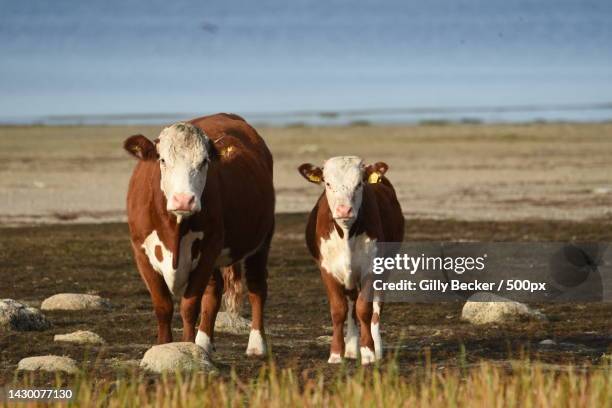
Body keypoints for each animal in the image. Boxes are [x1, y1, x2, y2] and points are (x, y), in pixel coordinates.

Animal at [123, 113, 274, 358]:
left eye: (204, 162)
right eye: (162, 160)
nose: (184, 200)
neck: (174, 229)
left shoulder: (208, 251)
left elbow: (189, 306)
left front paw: (186, 347)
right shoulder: (141, 252)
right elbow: (163, 306)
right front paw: (164, 346)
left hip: (262, 239)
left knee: (256, 285)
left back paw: (256, 345)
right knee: (214, 291)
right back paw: (204, 343)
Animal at [298, 155, 404, 364]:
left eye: (359, 183)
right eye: (328, 183)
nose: (344, 210)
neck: (346, 235)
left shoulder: (371, 268)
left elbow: (364, 309)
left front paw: (369, 352)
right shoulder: (327, 269)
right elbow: (339, 310)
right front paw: (336, 353)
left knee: (375, 307)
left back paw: (376, 347)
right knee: (351, 303)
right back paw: (352, 347)